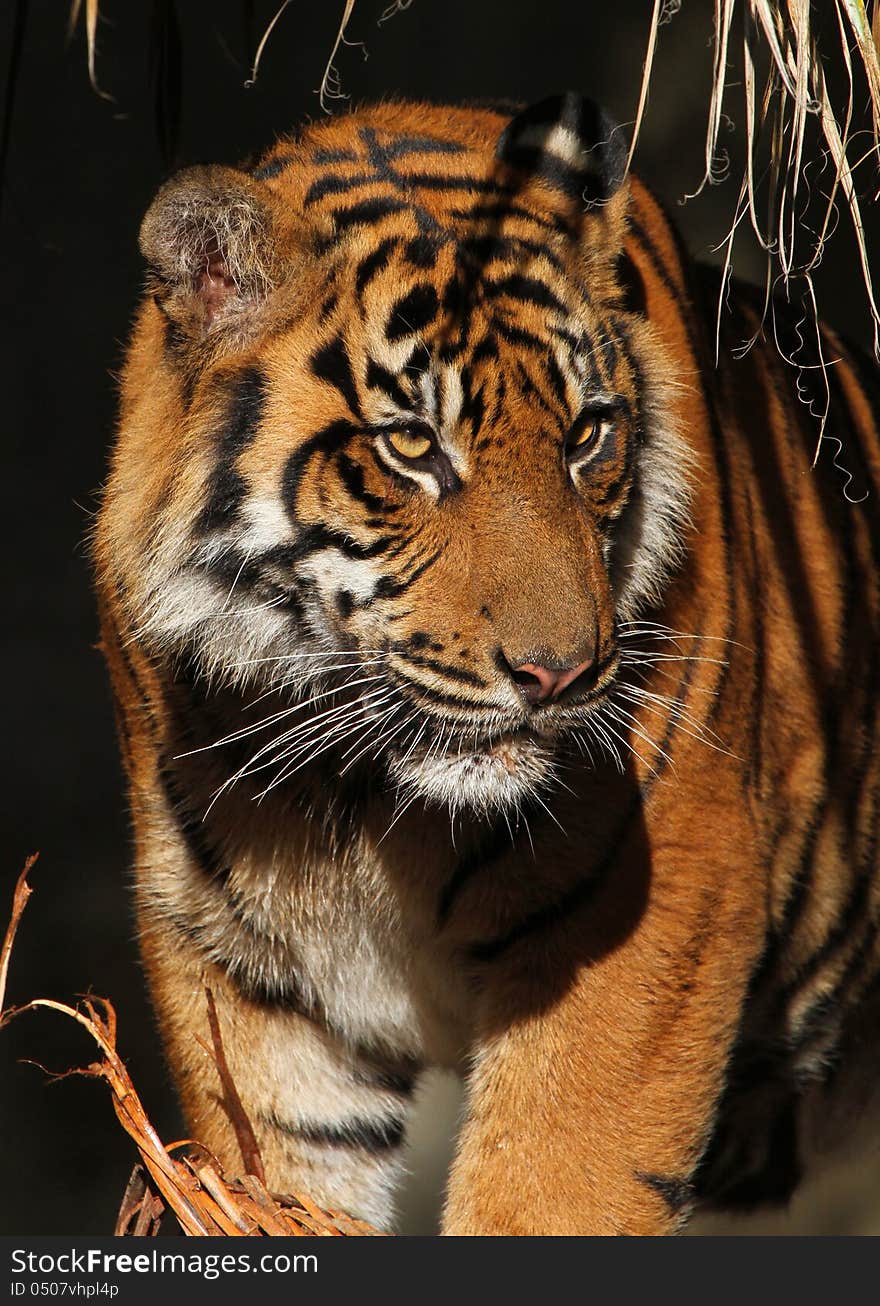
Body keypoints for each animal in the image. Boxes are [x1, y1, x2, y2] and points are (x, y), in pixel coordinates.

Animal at [90, 94, 880, 1232]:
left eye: (587, 435)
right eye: (413, 446)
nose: (560, 674)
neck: (360, 800)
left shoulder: (647, 925)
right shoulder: (246, 983)